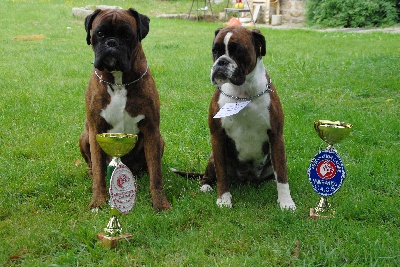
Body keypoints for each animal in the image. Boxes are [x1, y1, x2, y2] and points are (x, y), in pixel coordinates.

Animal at [79, 8, 170, 213]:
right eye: (100, 33)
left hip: (160, 140)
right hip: (84, 135)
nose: (111, 43)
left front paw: (160, 203)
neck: (119, 81)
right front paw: (98, 201)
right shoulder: (95, 130)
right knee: (92, 165)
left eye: (127, 35)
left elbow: (156, 174)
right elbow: (99, 171)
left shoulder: (152, 130)